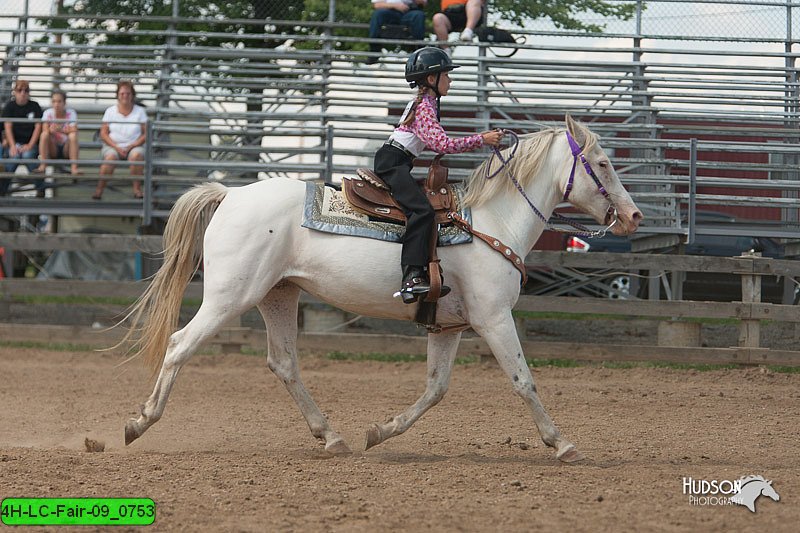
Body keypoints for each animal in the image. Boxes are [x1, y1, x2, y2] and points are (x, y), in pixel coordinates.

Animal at [120, 115, 644, 462]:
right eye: (602, 163)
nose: (634, 216)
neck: (492, 223)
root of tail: (230, 193)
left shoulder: (449, 327)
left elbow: (435, 389)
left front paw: (380, 431)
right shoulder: (495, 319)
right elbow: (523, 380)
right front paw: (563, 443)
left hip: (277, 294)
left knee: (283, 362)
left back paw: (332, 437)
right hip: (231, 296)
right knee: (179, 345)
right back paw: (138, 422)